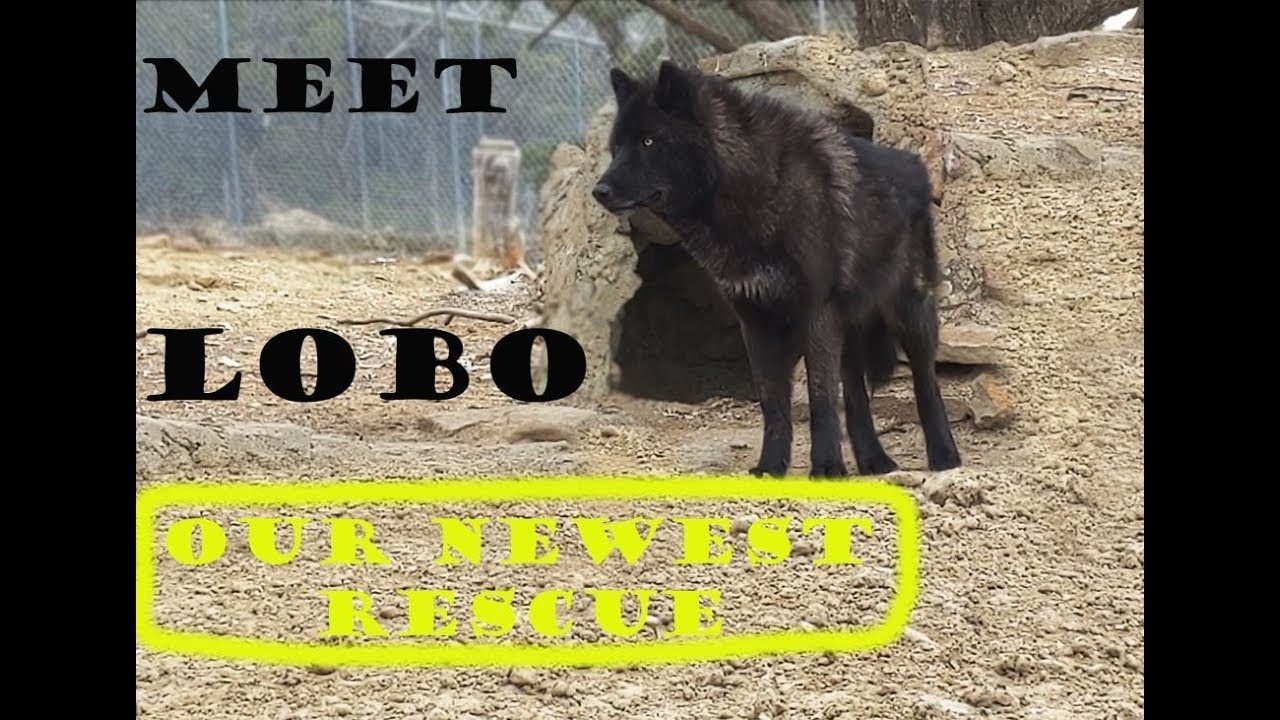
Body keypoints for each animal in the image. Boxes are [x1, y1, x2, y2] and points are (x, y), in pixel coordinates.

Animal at [592, 60, 962, 478]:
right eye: (616, 148)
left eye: (649, 142)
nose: (599, 191)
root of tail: (916, 166)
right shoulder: (755, 320)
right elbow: (772, 401)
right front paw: (770, 466)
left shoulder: (815, 313)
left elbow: (820, 397)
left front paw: (827, 467)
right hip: (850, 328)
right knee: (854, 393)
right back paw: (874, 462)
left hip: (909, 314)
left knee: (926, 383)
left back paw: (944, 457)